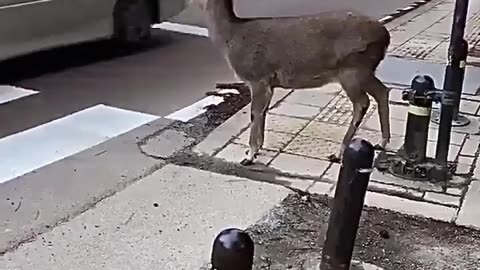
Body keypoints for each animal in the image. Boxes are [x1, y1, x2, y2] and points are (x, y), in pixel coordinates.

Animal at [198, 0, 390, 166]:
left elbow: (254, 113)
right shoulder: (269, 83)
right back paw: (382, 142)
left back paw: (338, 153)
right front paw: (258, 148)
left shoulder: (257, 77)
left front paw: (249, 156)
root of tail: (385, 36)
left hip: (352, 69)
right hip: (364, 70)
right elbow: (263, 112)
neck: (230, 39)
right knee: (382, 91)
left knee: (362, 102)